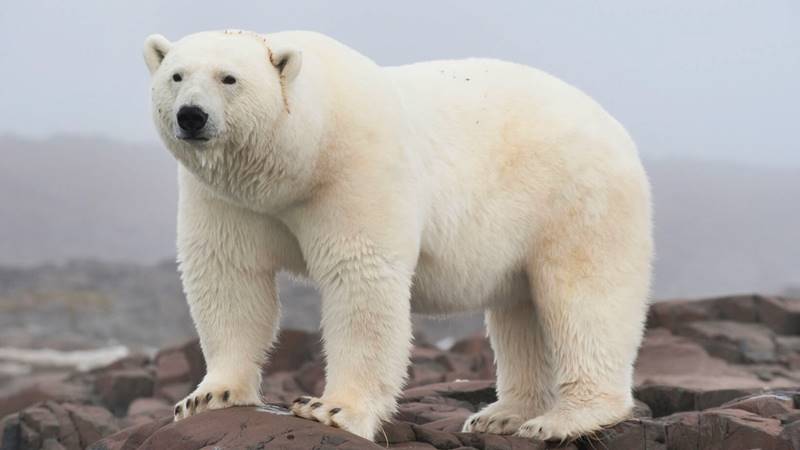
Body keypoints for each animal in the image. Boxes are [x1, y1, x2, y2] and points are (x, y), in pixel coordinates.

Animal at [143, 30, 653, 441]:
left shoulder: (354, 169)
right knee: (520, 312)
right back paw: (502, 414)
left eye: (229, 78)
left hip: (575, 199)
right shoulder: (228, 199)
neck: (300, 157)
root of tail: (619, 131)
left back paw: (564, 419)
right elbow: (229, 274)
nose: (191, 116)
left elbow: (360, 279)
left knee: (583, 299)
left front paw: (330, 409)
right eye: (177, 76)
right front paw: (208, 396)